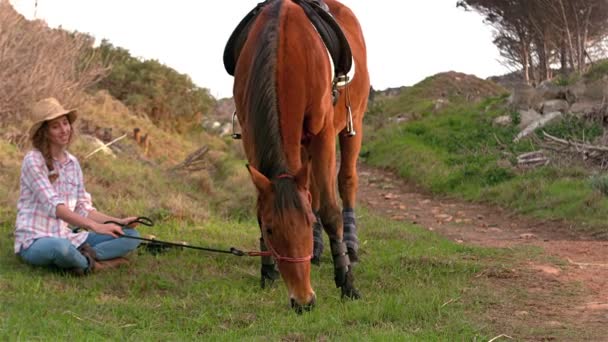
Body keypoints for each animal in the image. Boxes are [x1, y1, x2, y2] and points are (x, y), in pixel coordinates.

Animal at [223, 0, 366, 312]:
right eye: (270, 230)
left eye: (306, 225)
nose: (303, 301)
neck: (283, 52)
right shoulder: (250, 134)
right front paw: (268, 272)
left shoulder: (323, 132)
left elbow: (330, 210)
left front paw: (347, 282)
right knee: (311, 187)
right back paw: (319, 251)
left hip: (354, 123)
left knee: (346, 180)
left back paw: (350, 247)